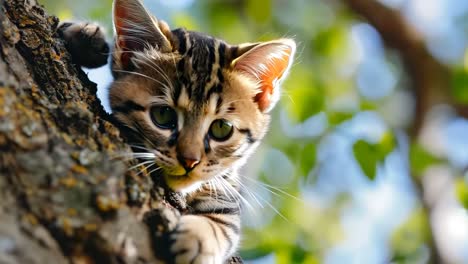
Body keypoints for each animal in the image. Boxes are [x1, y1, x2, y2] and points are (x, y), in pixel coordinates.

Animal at [59, 0, 296, 262]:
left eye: (221, 128)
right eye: (163, 116)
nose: (189, 161)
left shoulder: (226, 188)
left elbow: (226, 218)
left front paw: (200, 239)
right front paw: (83, 33)